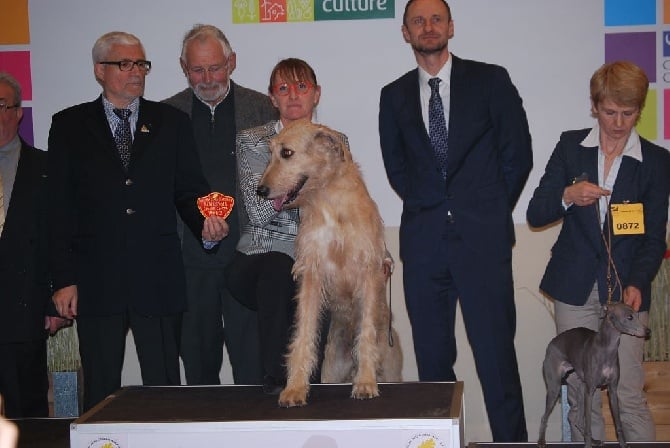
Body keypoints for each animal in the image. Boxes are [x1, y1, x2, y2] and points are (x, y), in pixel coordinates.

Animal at [258, 119, 404, 406]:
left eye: (287, 153)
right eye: (270, 152)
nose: (261, 191)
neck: (330, 202)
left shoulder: (368, 271)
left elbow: (366, 329)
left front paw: (366, 382)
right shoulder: (311, 272)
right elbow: (303, 331)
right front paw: (295, 387)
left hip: (392, 367)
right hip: (332, 369)